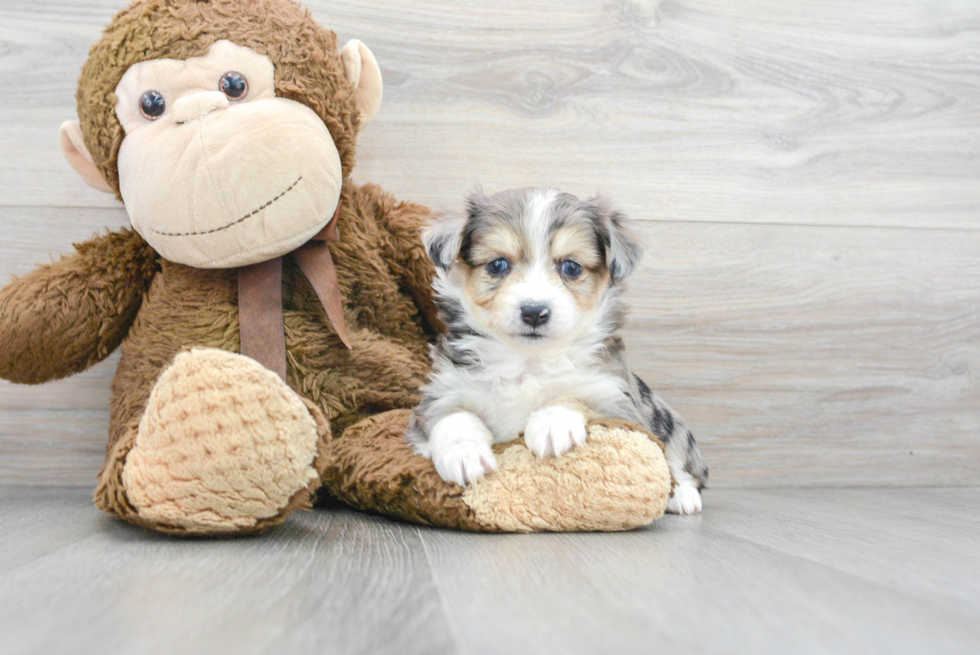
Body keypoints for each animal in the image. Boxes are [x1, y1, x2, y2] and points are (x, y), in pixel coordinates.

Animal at [402, 187, 708, 516]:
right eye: (497, 265)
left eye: (571, 267)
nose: (534, 312)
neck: (528, 360)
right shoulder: (441, 393)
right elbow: (452, 416)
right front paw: (463, 454)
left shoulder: (619, 404)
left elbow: (577, 398)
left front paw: (553, 423)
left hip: (671, 423)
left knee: (682, 467)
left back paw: (682, 497)